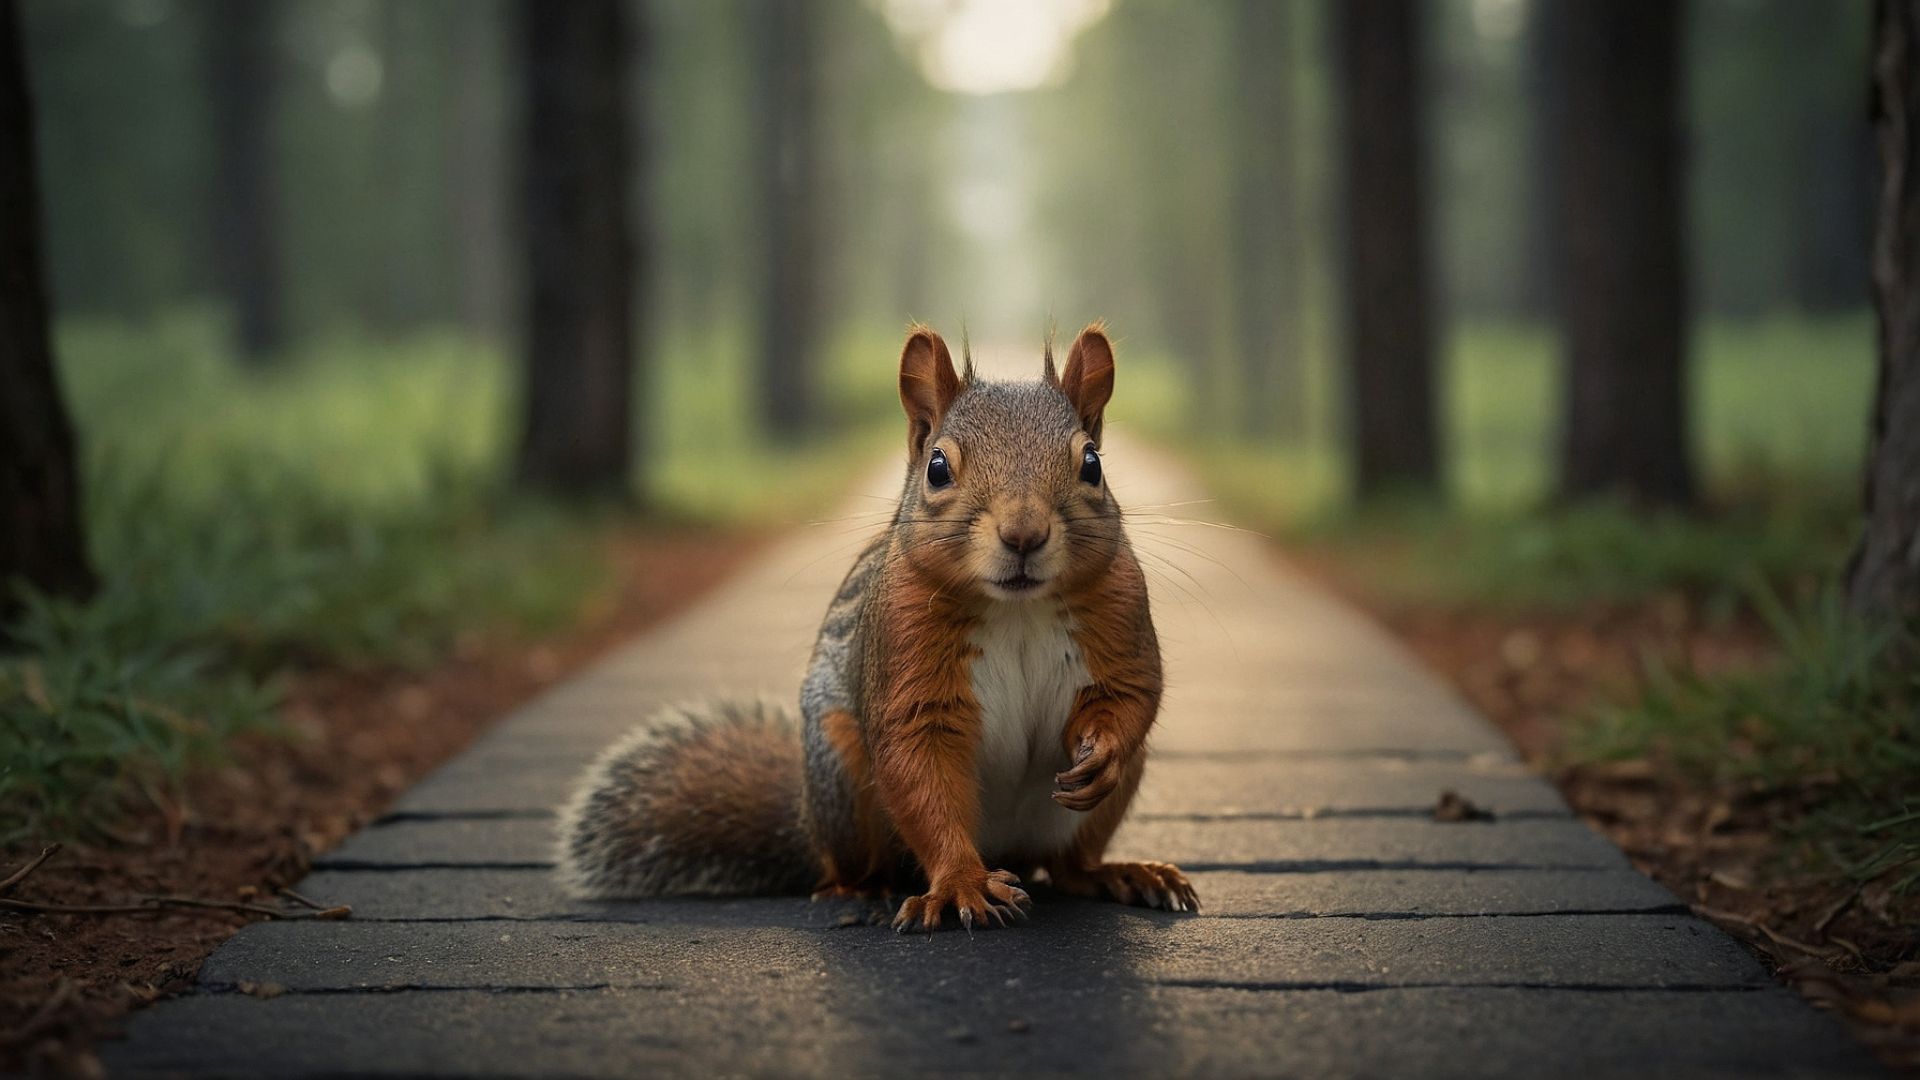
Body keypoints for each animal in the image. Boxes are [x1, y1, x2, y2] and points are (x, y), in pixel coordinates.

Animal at [555, 325, 1197, 931]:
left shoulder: (1119, 606)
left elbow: (1129, 695)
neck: (1018, 608)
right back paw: (863, 889)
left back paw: (1121, 873)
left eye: (1092, 464)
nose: (1023, 534)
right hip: (842, 779)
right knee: (853, 863)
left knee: (1067, 867)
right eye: (937, 468)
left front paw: (1101, 753)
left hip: (1091, 813)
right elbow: (918, 765)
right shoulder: (903, 645)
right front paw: (962, 884)